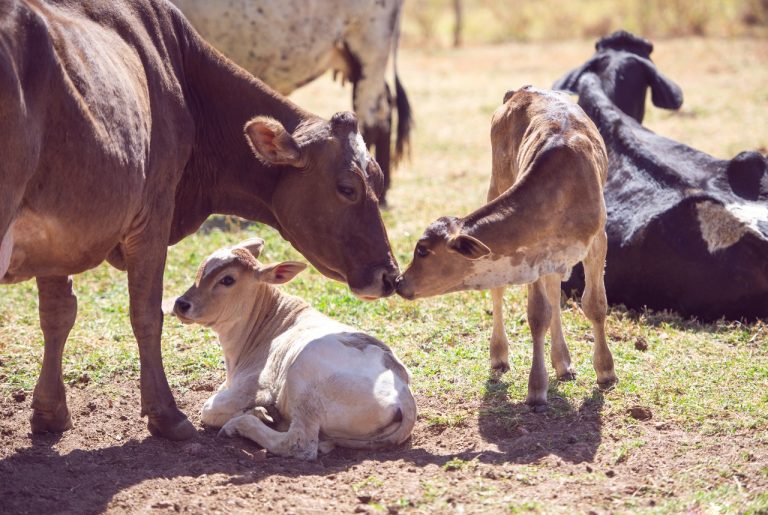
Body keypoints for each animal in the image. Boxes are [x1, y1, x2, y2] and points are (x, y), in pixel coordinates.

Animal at [171, 239, 416, 460]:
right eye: (200, 270)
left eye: (228, 279)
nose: (181, 304)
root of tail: (404, 393)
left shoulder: (255, 387)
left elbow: (208, 410)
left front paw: (256, 413)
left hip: (303, 375)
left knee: (299, 444)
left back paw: (242, 424)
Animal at [395, 87, 617, 411]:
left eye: (422, 250)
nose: (399, 282)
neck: (561, 190)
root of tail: (522, 90)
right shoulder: (531, 253)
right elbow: (537, 314)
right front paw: (536, 389)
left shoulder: (598, 239)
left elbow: (595, 304)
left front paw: (605, 371)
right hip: (496, 181)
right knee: (503, 291)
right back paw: (501, 355)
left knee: (554, 291)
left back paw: (563, 363)